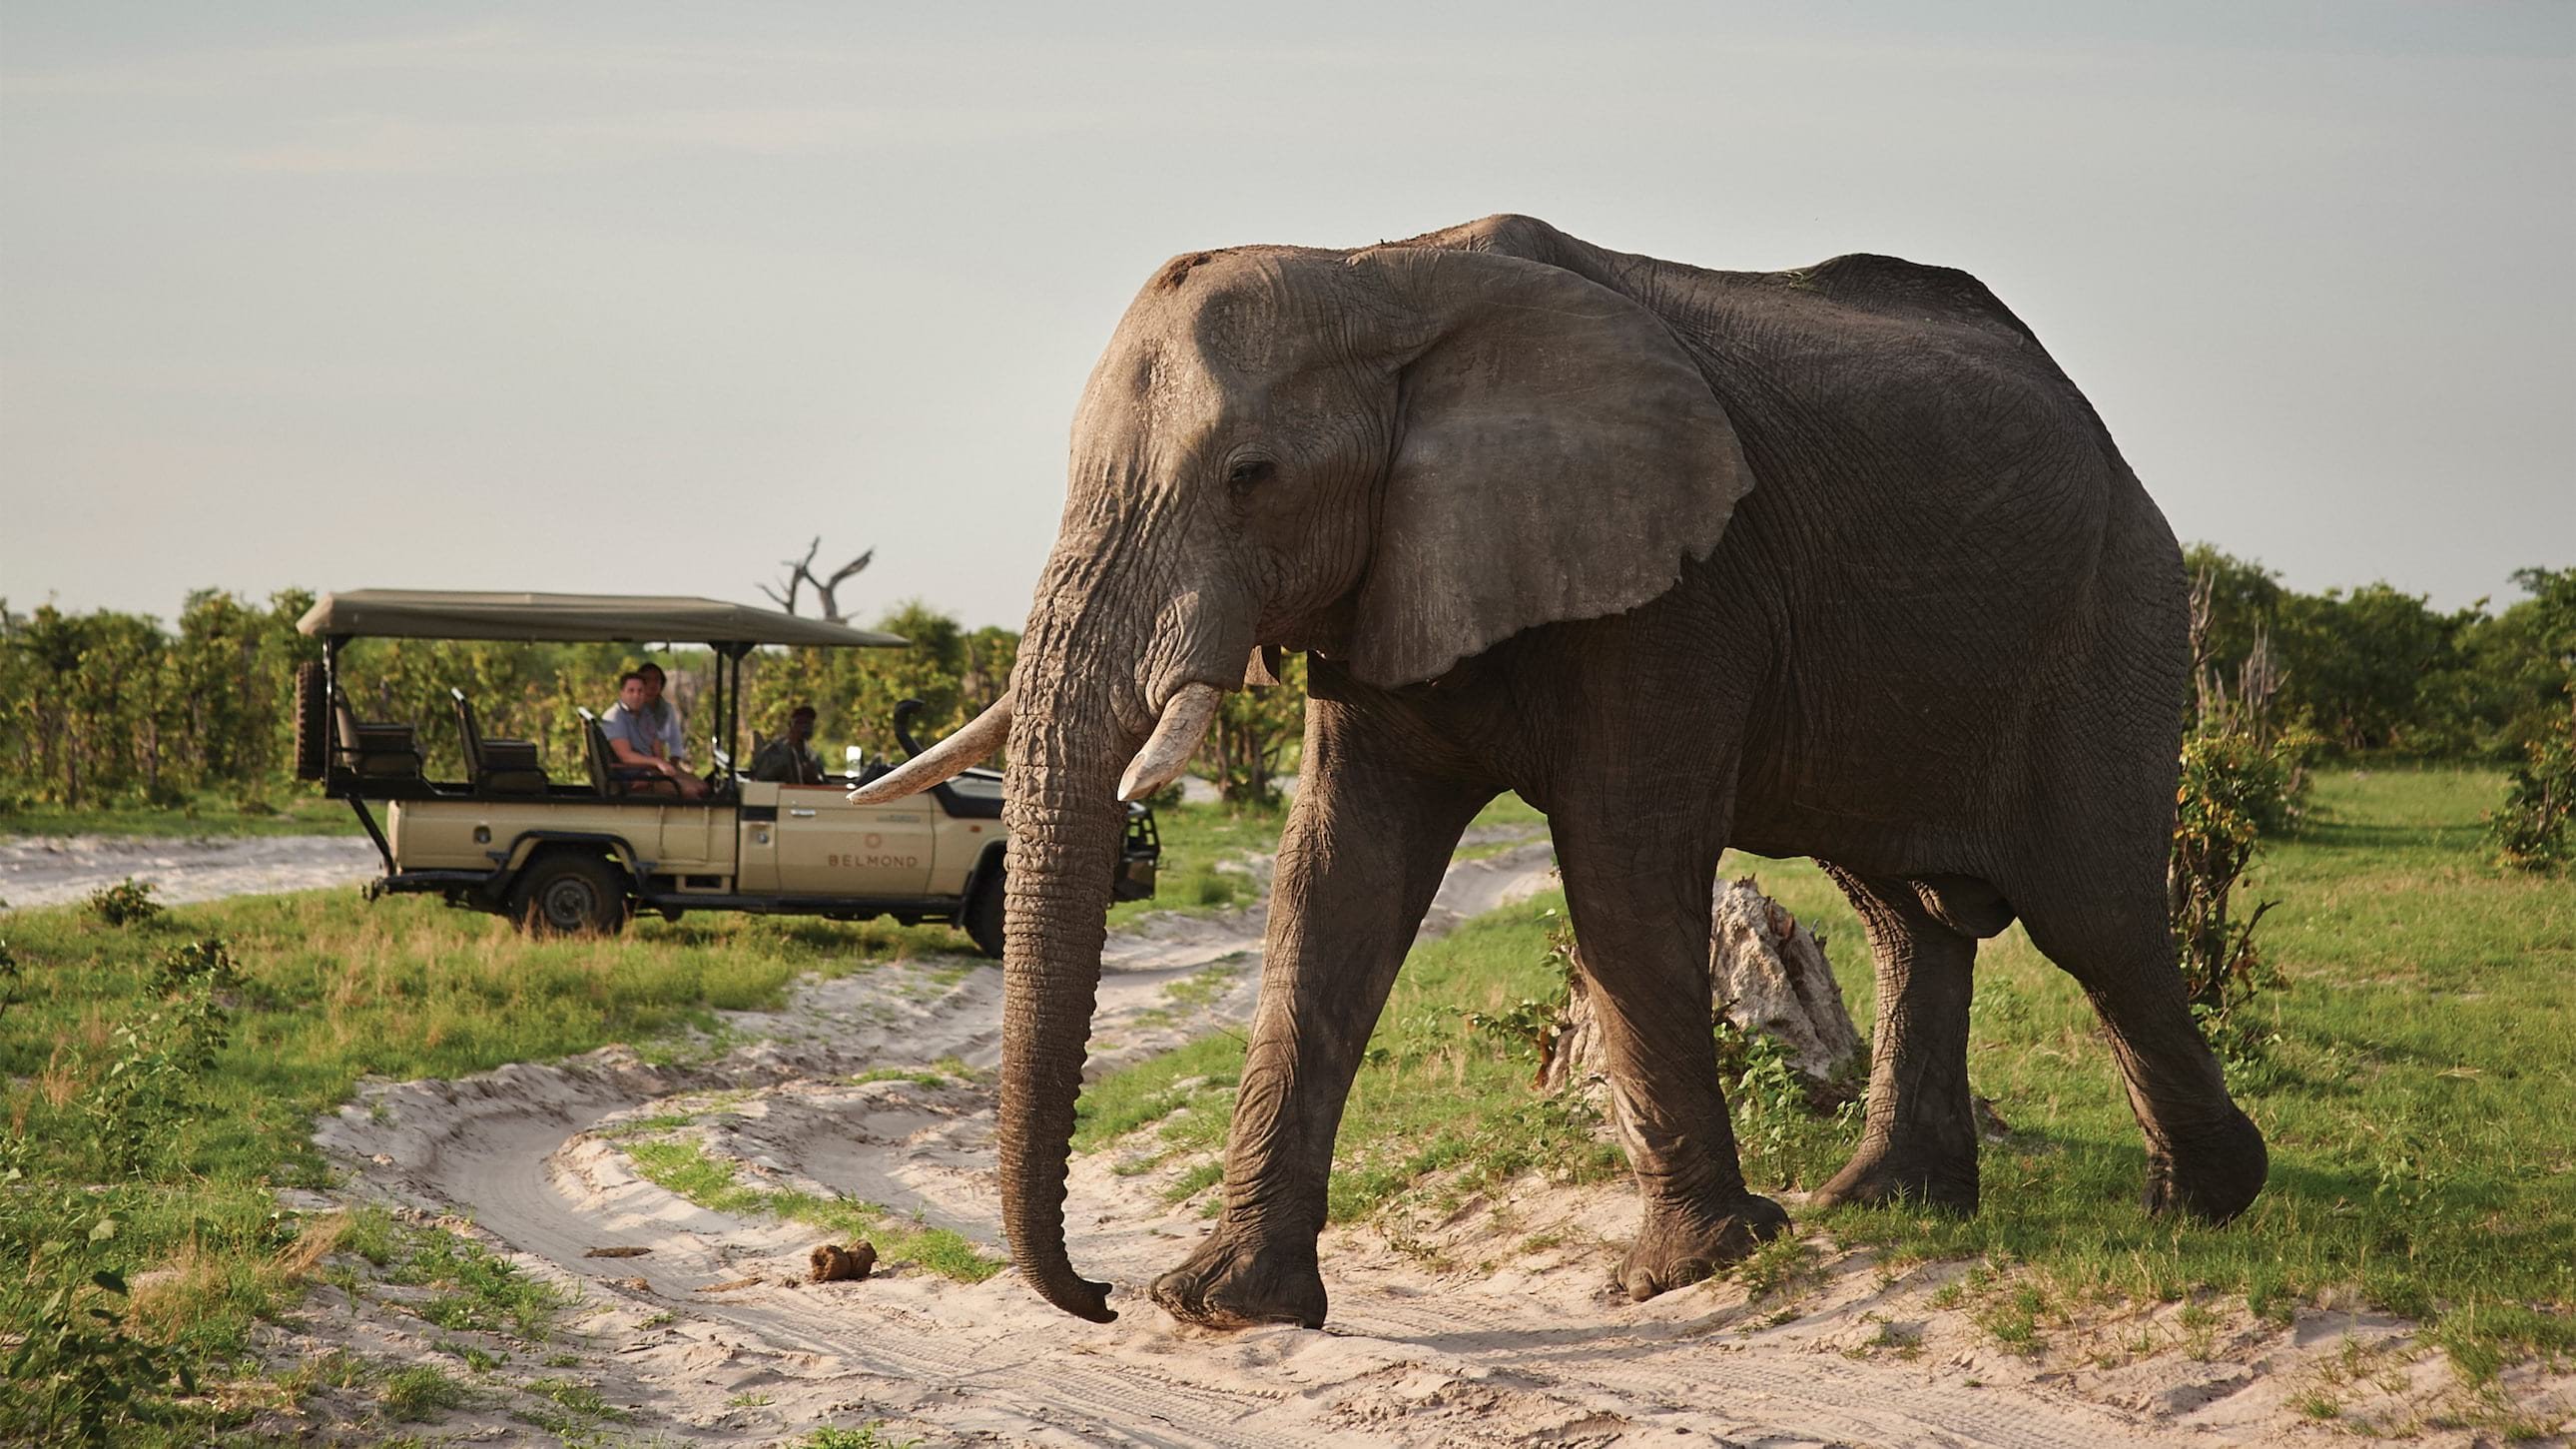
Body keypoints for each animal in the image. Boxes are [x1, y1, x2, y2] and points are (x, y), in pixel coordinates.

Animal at [856, 213, 2269, 1330]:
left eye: (1251, 476)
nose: (1096, 1291)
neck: (1381, 276)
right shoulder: (1392, 575)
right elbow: (1334, 880)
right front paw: (1224, 1305)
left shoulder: (1679, 586)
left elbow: (1622, 870)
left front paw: (1688, 1273)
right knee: (1906, 913)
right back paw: (1887, 1203)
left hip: (2123, 613)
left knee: (2096, 917)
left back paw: (2206, 1204)